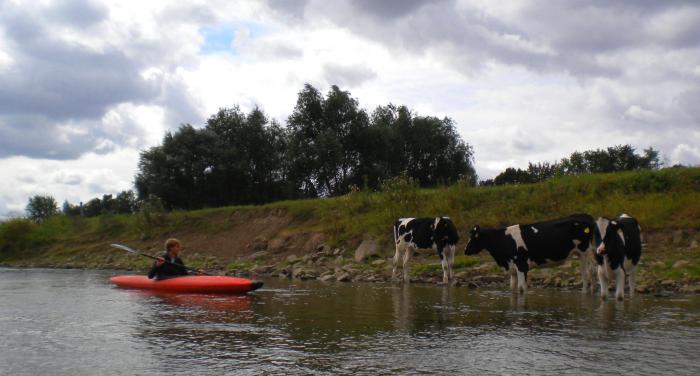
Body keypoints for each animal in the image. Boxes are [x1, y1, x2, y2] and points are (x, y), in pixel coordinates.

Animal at [464, 214, 596, 294]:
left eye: (474, 237)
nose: (465, 250)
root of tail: (585, 216)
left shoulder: (521, 265)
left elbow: (521, 289)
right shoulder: (512, 268)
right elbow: (513, 288)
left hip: (585, 252)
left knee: (587, 274)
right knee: (589, 273)